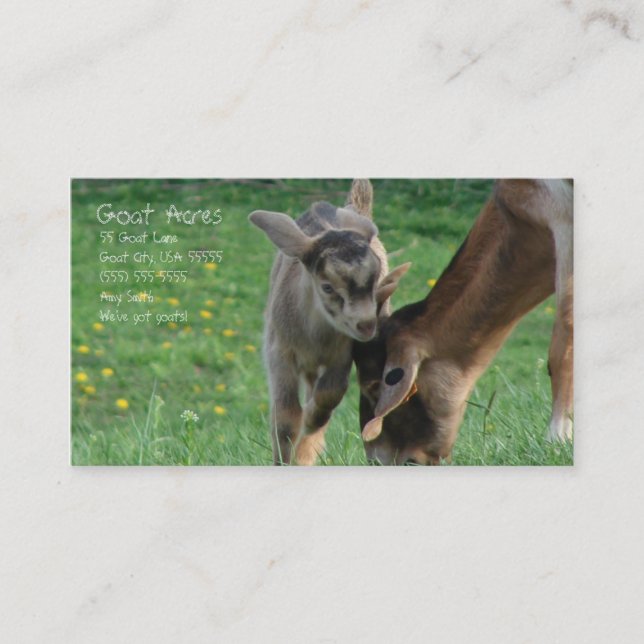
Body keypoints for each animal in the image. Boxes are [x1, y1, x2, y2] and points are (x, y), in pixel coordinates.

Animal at [249, 180, 410, 465]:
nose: (367, 325)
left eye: (376, 280)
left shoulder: (342, 354)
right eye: (327, 287)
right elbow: (285, 418)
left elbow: (329, 396)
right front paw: (284, 460)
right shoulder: (279, 352)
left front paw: (309, 428)